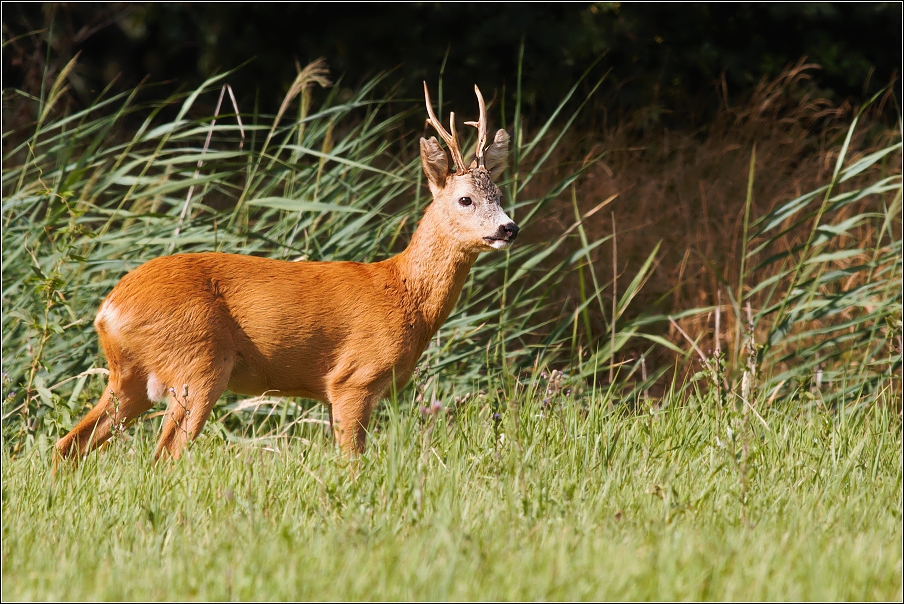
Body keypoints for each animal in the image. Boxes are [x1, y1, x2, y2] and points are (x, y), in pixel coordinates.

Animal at [56, 82, 520, 460]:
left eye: (499, 193)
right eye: (465, 199)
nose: (509, 228)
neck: (402, 292)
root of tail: (108, 309)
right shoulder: (353, 380)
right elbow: (353, 462)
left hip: (131, 375)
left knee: (70, 443)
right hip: (198, 361)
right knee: (164, 454)